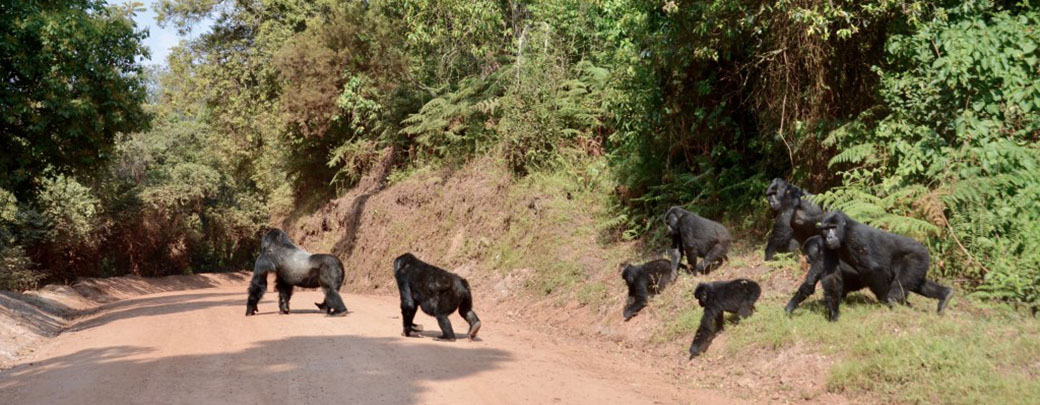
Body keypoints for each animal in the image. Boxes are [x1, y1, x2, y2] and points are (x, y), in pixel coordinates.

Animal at [815, 210, 952, 320]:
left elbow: (872, 270)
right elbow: (831, 276)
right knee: (917, 282)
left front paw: (885, 301)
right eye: (826, 229)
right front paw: (834, 312)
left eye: (833, 227)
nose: (829, 237)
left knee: (902, 283)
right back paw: (945, 294)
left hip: (917, 256)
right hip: (920, 260)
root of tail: (923, 248)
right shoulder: (824, 243)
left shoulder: (855, 238)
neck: (845, 230)